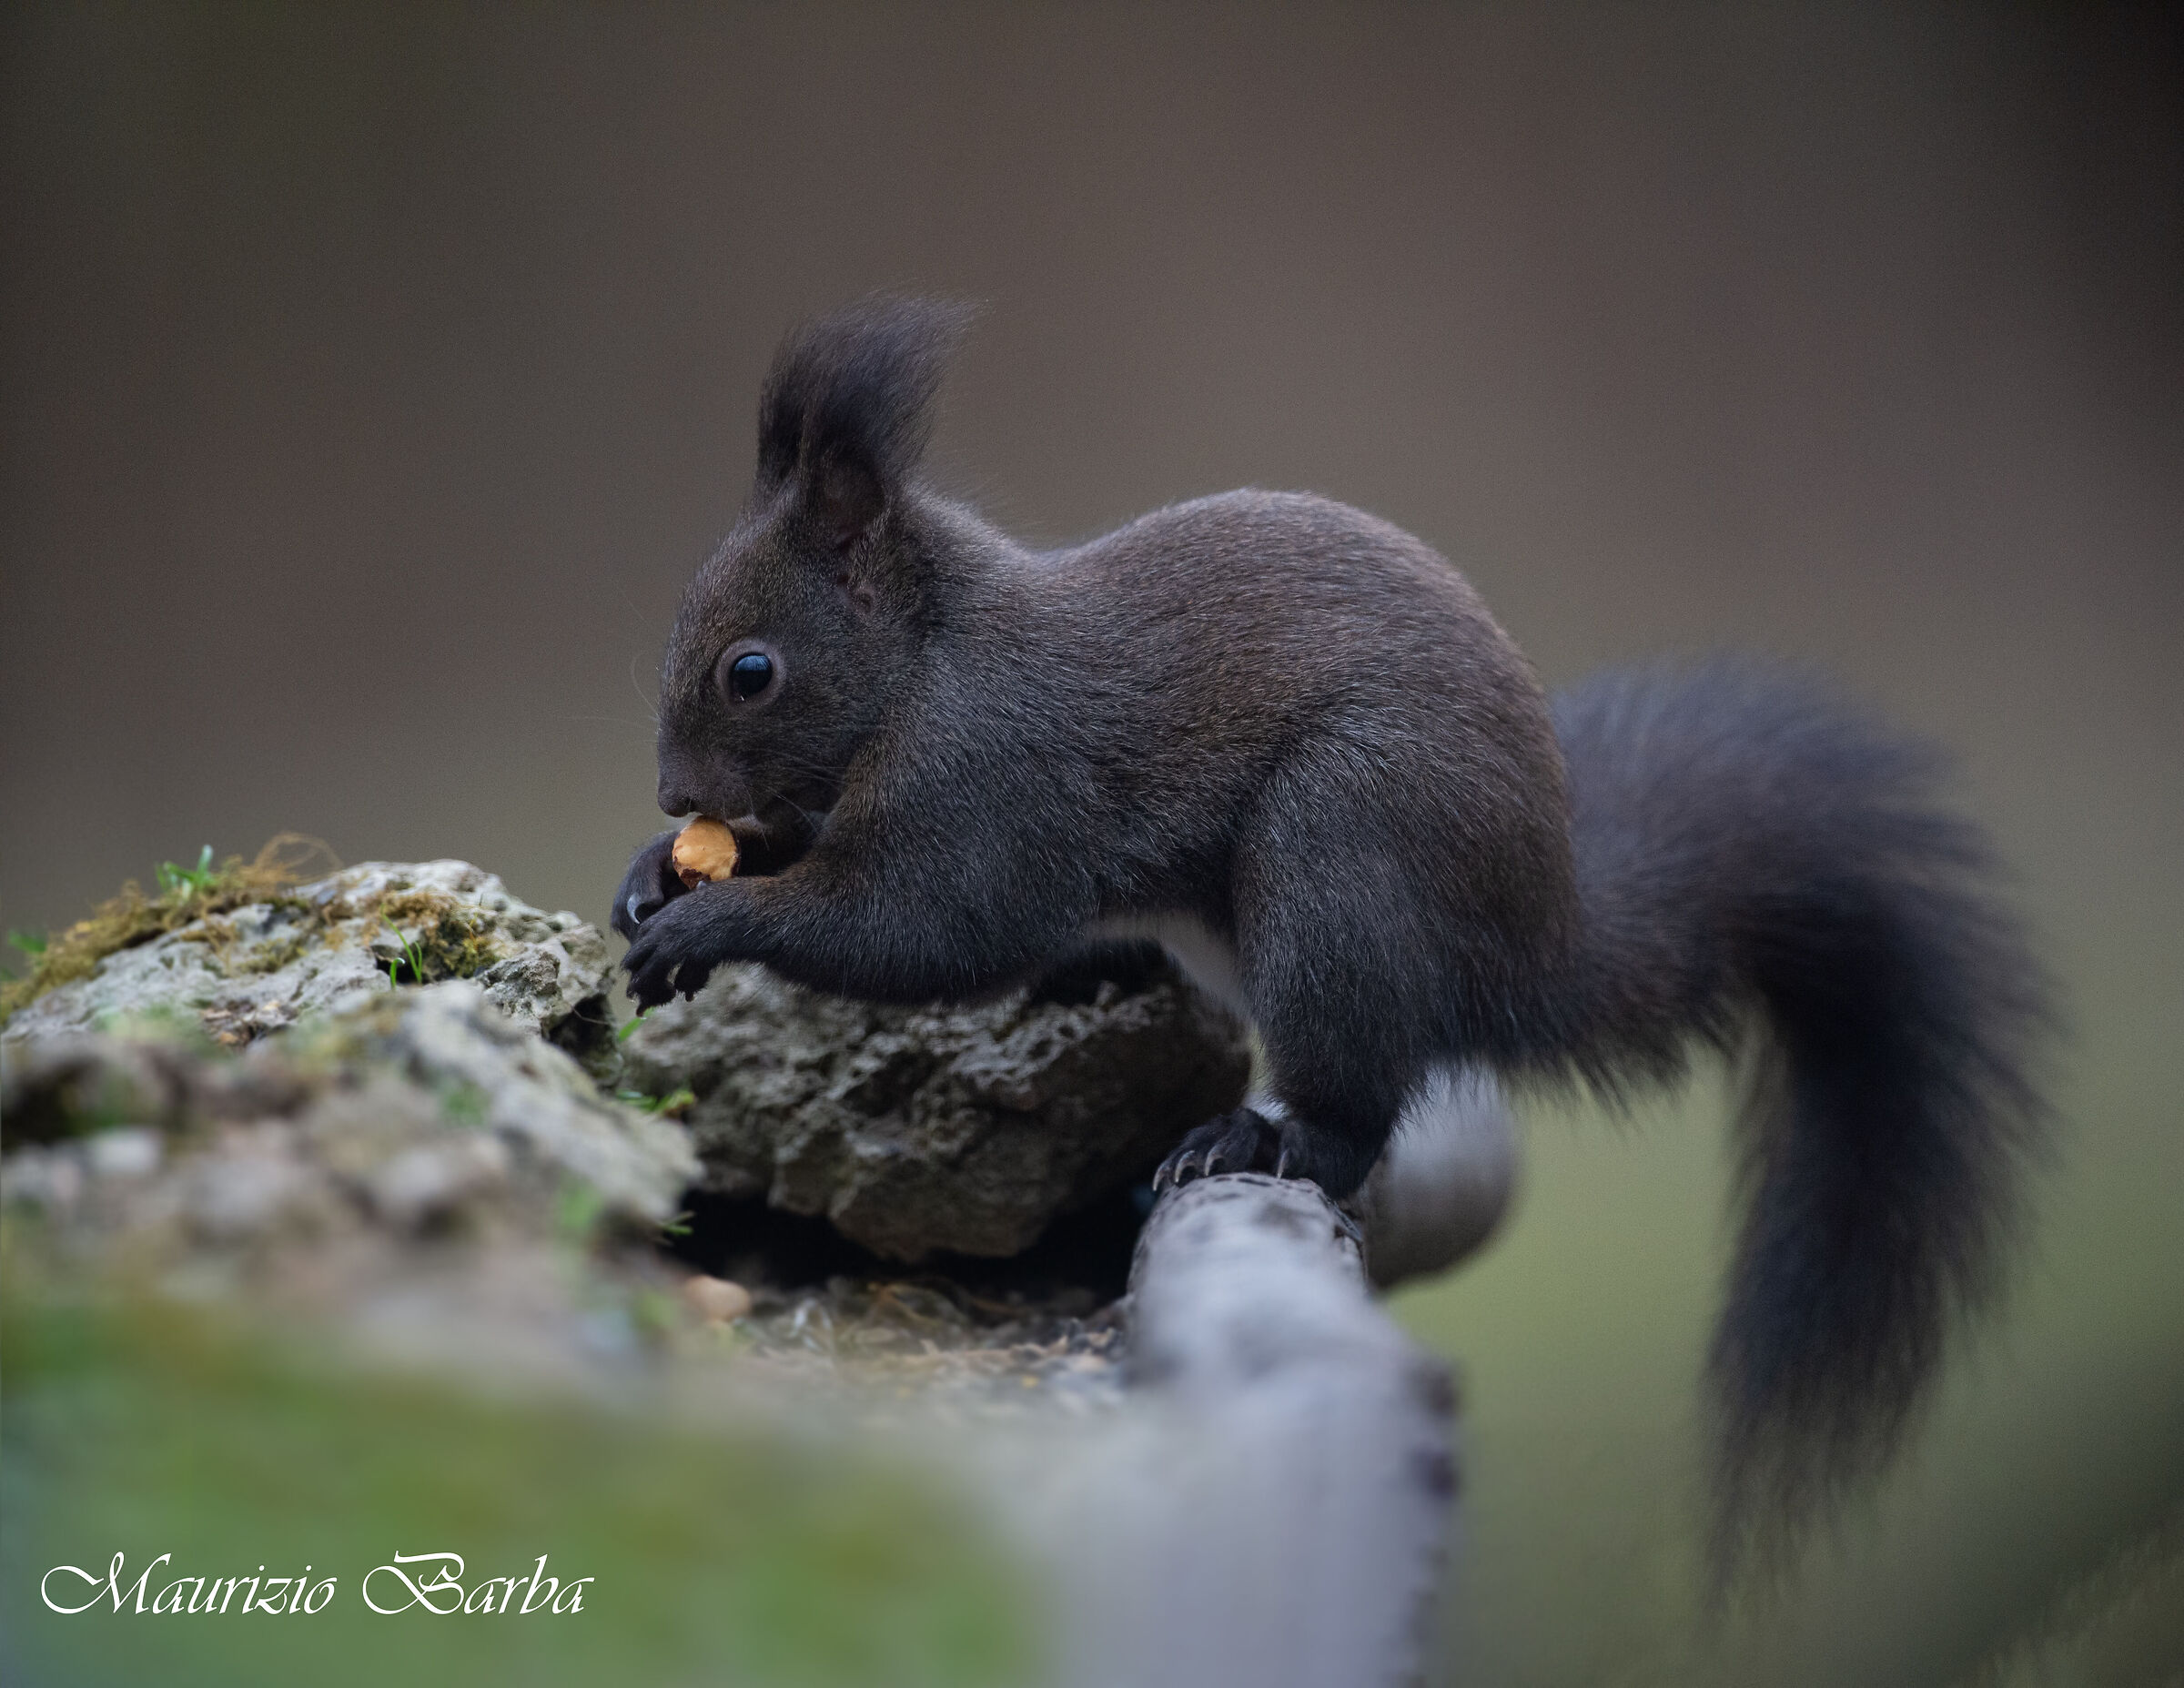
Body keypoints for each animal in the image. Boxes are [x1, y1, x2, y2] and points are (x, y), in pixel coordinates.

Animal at [613, 295, 2051, 1564]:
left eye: (751, 669)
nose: (678, 797)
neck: (925, 660)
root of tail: (1533, 943)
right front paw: (652, 881)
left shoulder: (991, 781)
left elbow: (920, 926)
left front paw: (716, 915)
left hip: (1342, 860)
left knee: (1357, 1116)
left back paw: (1258, 1137)